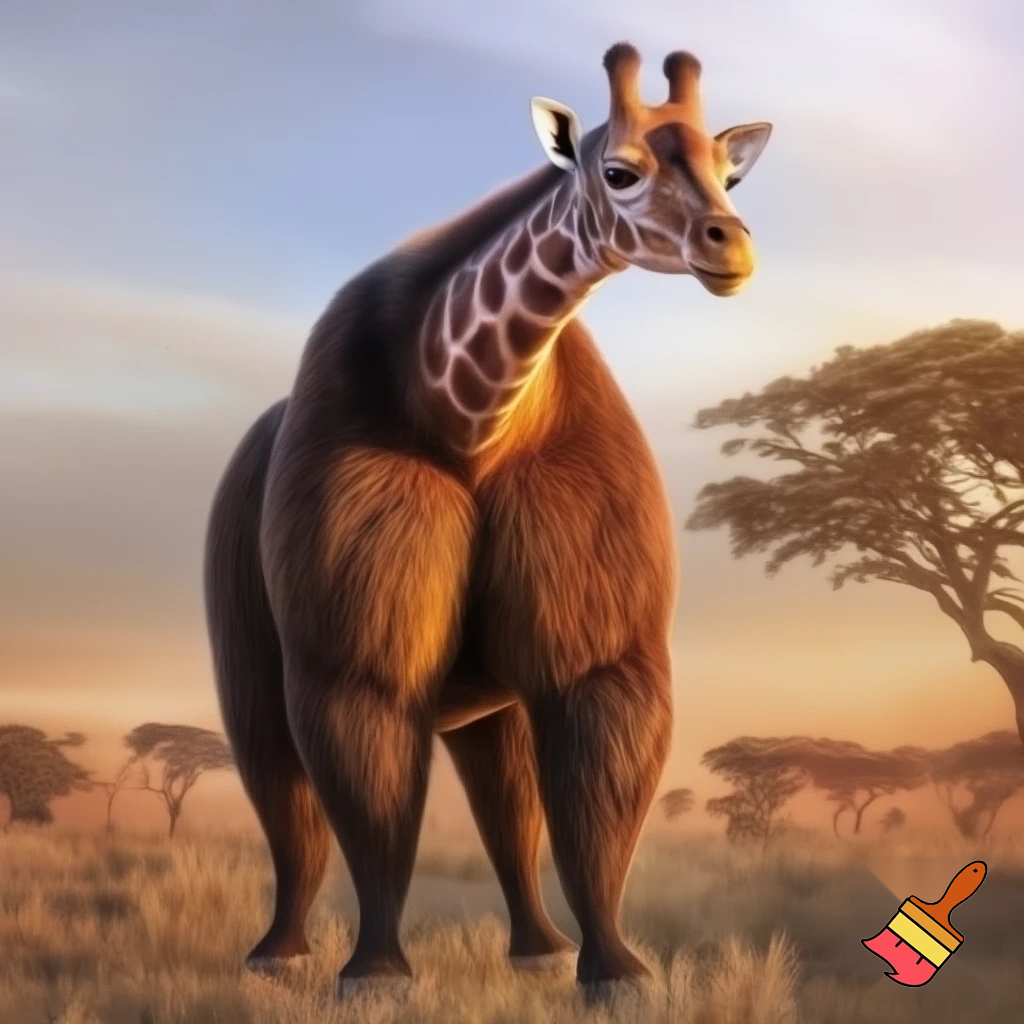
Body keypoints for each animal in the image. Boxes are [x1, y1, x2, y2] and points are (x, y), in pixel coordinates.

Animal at [204, 41, 772, 1001]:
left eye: (730, 172)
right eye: (618, 171)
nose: (730, 249)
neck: (469, 419)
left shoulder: (601, 649)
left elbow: (590, 807)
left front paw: (615, 972)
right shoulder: (352, 656)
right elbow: (374, 801)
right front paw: (376, 975)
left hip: (483, 698)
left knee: (505, 800)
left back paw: (538, 948)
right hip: (247, 652)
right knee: (282, 790)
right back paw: (276, 955)